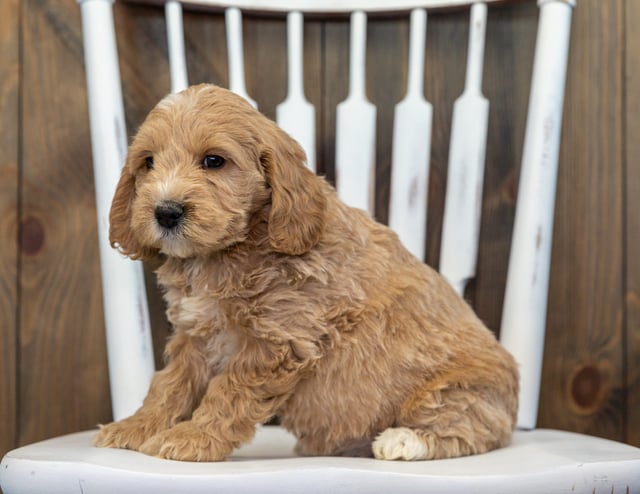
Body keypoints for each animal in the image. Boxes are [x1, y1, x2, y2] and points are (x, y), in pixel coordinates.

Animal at [97, 83, 524, 462]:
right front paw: (135, 427)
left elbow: (229, 392)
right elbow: (169, 386)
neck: (230, 249)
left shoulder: (277, 340)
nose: (166, 212)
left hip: (460, 393)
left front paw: (193, 438)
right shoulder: (195, 334)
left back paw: (402, 441)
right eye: (148, 163)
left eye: (213, 161)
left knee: (472, 431)